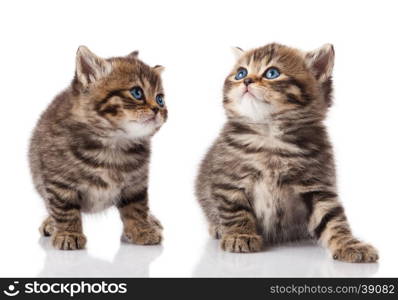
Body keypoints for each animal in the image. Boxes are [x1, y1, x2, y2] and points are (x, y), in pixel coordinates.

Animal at [29, 45, 166, 250]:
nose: (158, 109)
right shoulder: (59, 181)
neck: (113, 144)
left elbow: (136, 207)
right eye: (137, 93)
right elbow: (65, 208)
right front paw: (68, 233)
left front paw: (142, 230)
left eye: (160, 99)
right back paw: (51, 223)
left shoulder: (136, 183)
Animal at [197, 42, 380, 262]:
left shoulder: (317, 185)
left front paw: (349, 244)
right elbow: (235, 211)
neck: (270, 137)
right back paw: (217, 227)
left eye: (272, 73)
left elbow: (333, 219)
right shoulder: (228, 181)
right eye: (241, 73)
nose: (247, 81)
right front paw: (240, 234)